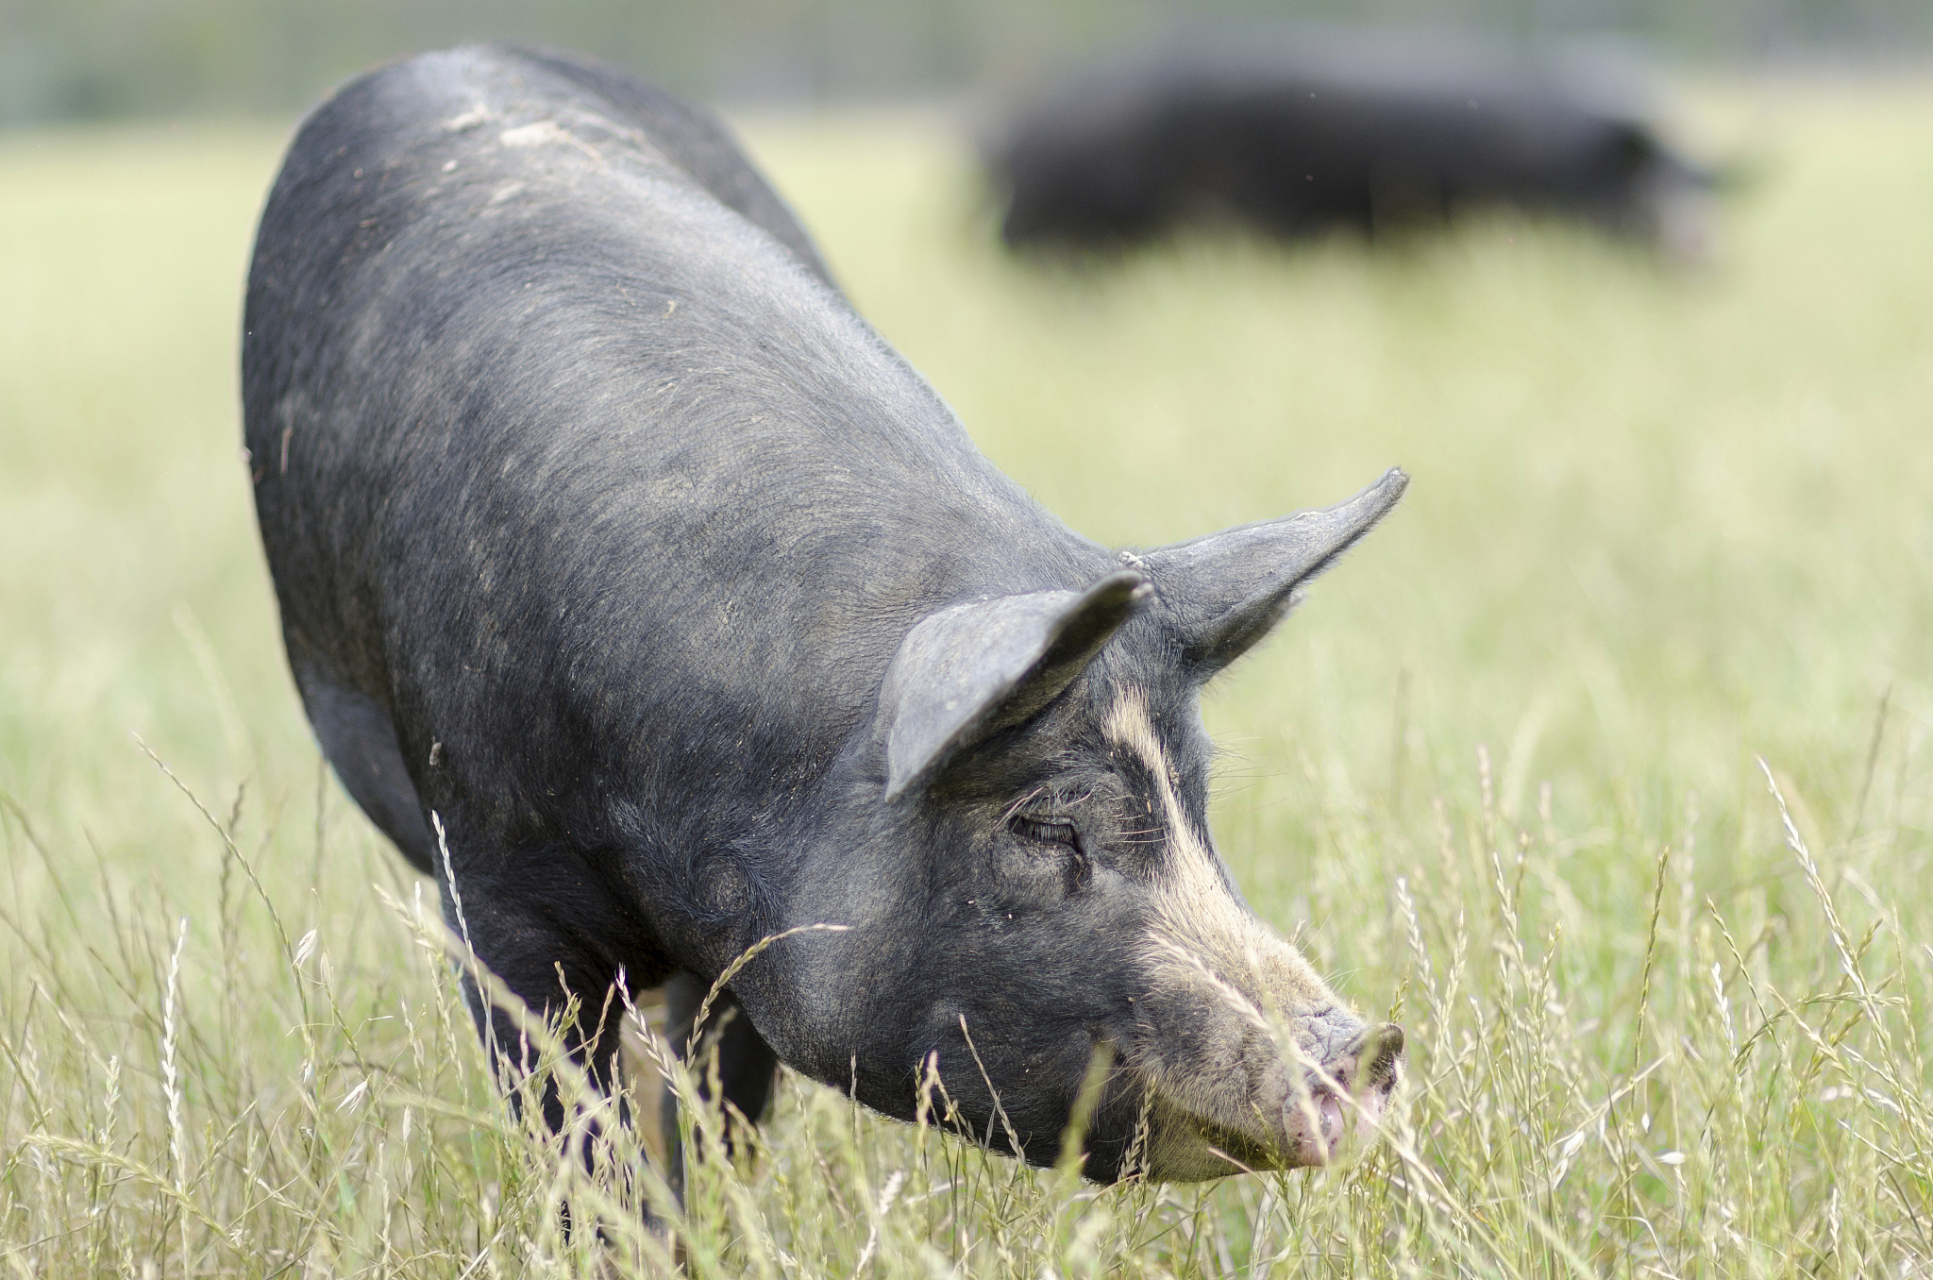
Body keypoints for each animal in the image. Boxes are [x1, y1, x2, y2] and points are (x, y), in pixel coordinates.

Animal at [249, 50, 1414, 1191]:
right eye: (1043, 824)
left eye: (1198, 798)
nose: (1365, 1049)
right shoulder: (491, 883)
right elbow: (576, 1130)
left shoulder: (750, 946)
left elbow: (722, 1106)